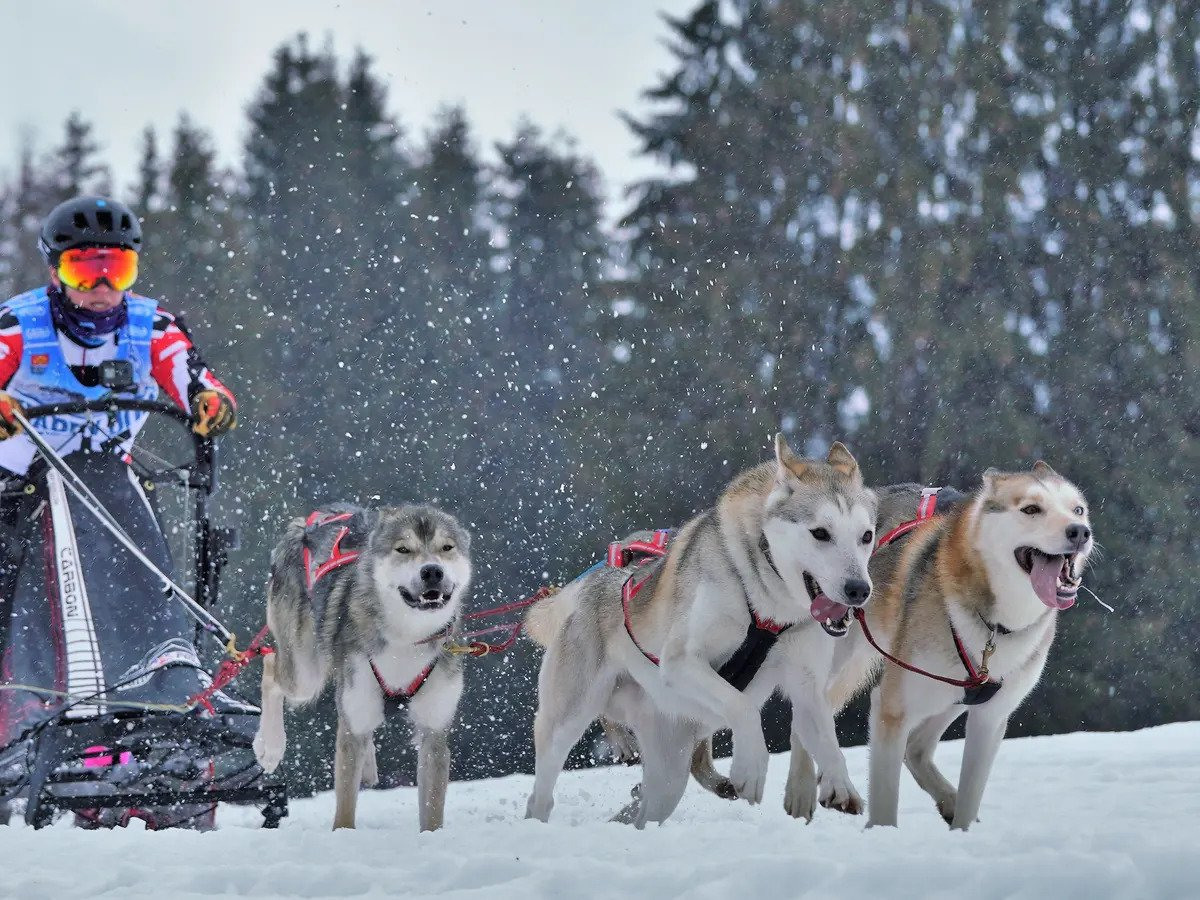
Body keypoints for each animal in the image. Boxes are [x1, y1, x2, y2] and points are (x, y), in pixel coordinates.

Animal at [253, 504, 468, 835]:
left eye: (447, 548)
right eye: (403, 549)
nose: (432, 570)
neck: (407, 638)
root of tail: (312, 519)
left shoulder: (434, 729)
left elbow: (432, 810)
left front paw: (431, 837)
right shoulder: (352, 714)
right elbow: (344, 805)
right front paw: (343, 835)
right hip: (305, 673)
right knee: (270, 668)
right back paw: (270, 746)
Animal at [528, 441, 883, 830]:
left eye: (866, 536)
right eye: (820, 533)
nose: (859, 590)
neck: (768, 609)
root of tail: (588, 584)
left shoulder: (807, 686)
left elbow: (827, 739)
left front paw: (841, 785)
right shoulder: (681, 661)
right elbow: (742, 705)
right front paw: (750, 768)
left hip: (669, 774)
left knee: (647, 810)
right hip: (568, 717)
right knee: (542, 793)